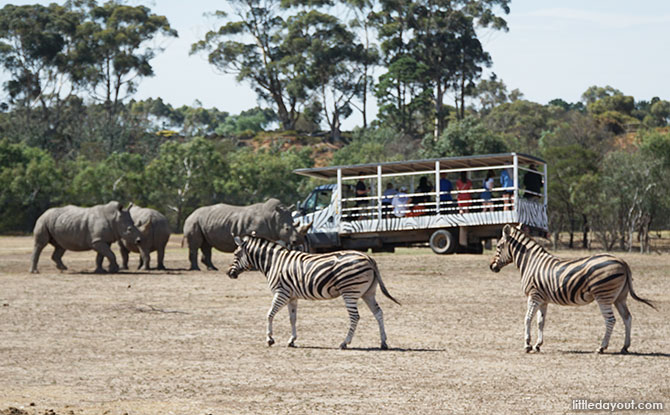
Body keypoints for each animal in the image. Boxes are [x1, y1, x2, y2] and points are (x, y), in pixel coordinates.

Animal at [228, 236, 402, 350]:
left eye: (236, 254)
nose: (229, 273)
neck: (274, 262)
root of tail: (369, 258)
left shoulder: (281, 292)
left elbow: (269, 314)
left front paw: (270, 339)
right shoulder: (292, 296)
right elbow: (292, 318)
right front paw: (292, 340)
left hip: (350, 291)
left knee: (355, 317)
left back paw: (344, 343)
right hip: (368, 292)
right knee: (378, 313)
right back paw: (383, 343)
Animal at [488, 224, 656, 354]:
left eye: (498, 246)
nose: (491, 267)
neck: (531, 262)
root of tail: (622, 261)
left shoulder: (534, 295)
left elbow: (527, 318)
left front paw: (527, 345)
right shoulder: (543, 299)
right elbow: (540, 322)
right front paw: (537, 345)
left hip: (603, 296)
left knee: (611, 320)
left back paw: (601, 347)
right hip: (620, 297)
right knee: (627, 318)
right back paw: (625, 347)